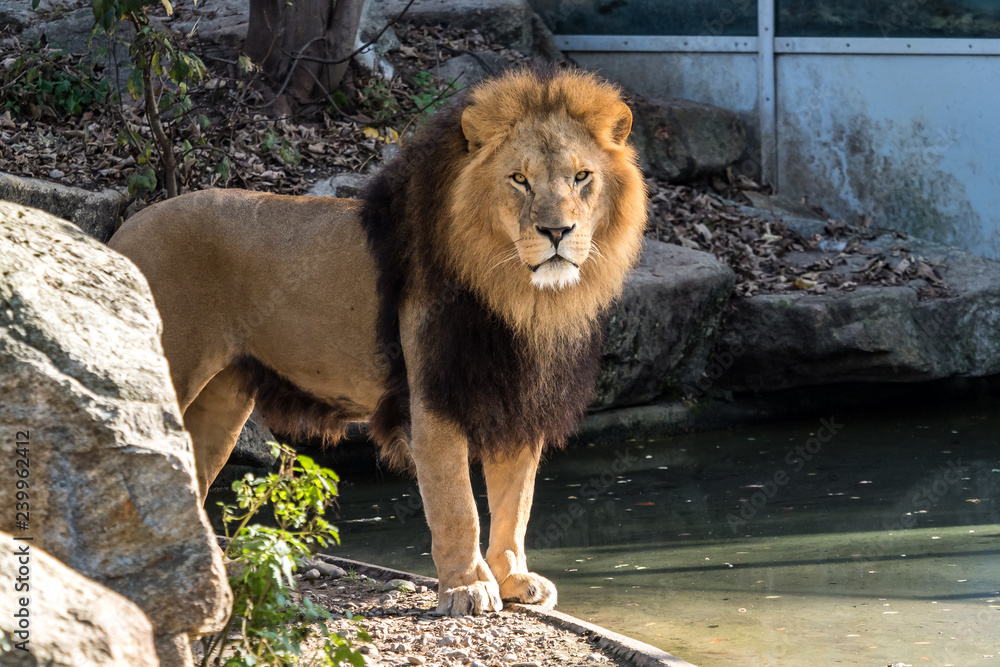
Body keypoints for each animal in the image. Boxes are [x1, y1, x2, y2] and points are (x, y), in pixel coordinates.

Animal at [108, 65, 648, 616]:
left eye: (582, 177)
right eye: (520, 179)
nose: (557, 231)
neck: (521, 296)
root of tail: (124, 230)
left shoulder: (517, 396)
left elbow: (516, 501)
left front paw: (514, 579)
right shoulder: (432, 397)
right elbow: (457, 504)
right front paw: (467, 587)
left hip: (221, 401)